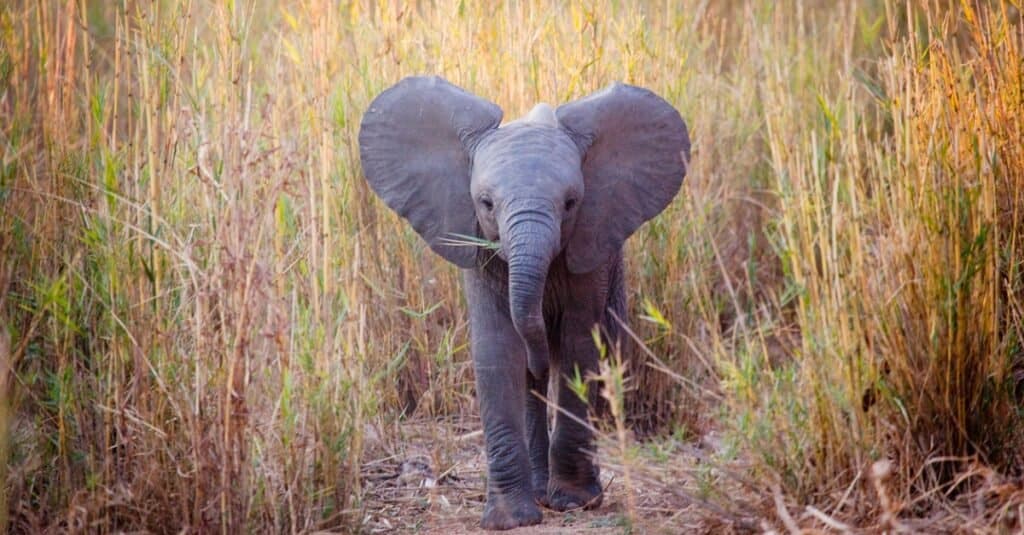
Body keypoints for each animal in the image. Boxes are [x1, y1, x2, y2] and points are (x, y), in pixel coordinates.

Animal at [358, 75, 688, 528]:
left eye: (570, 203)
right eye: (485, 203)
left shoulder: (591, 246)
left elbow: (579, 345)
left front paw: (573, 503)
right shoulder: (477, 246)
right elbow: (497, 350)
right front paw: (509, 520)